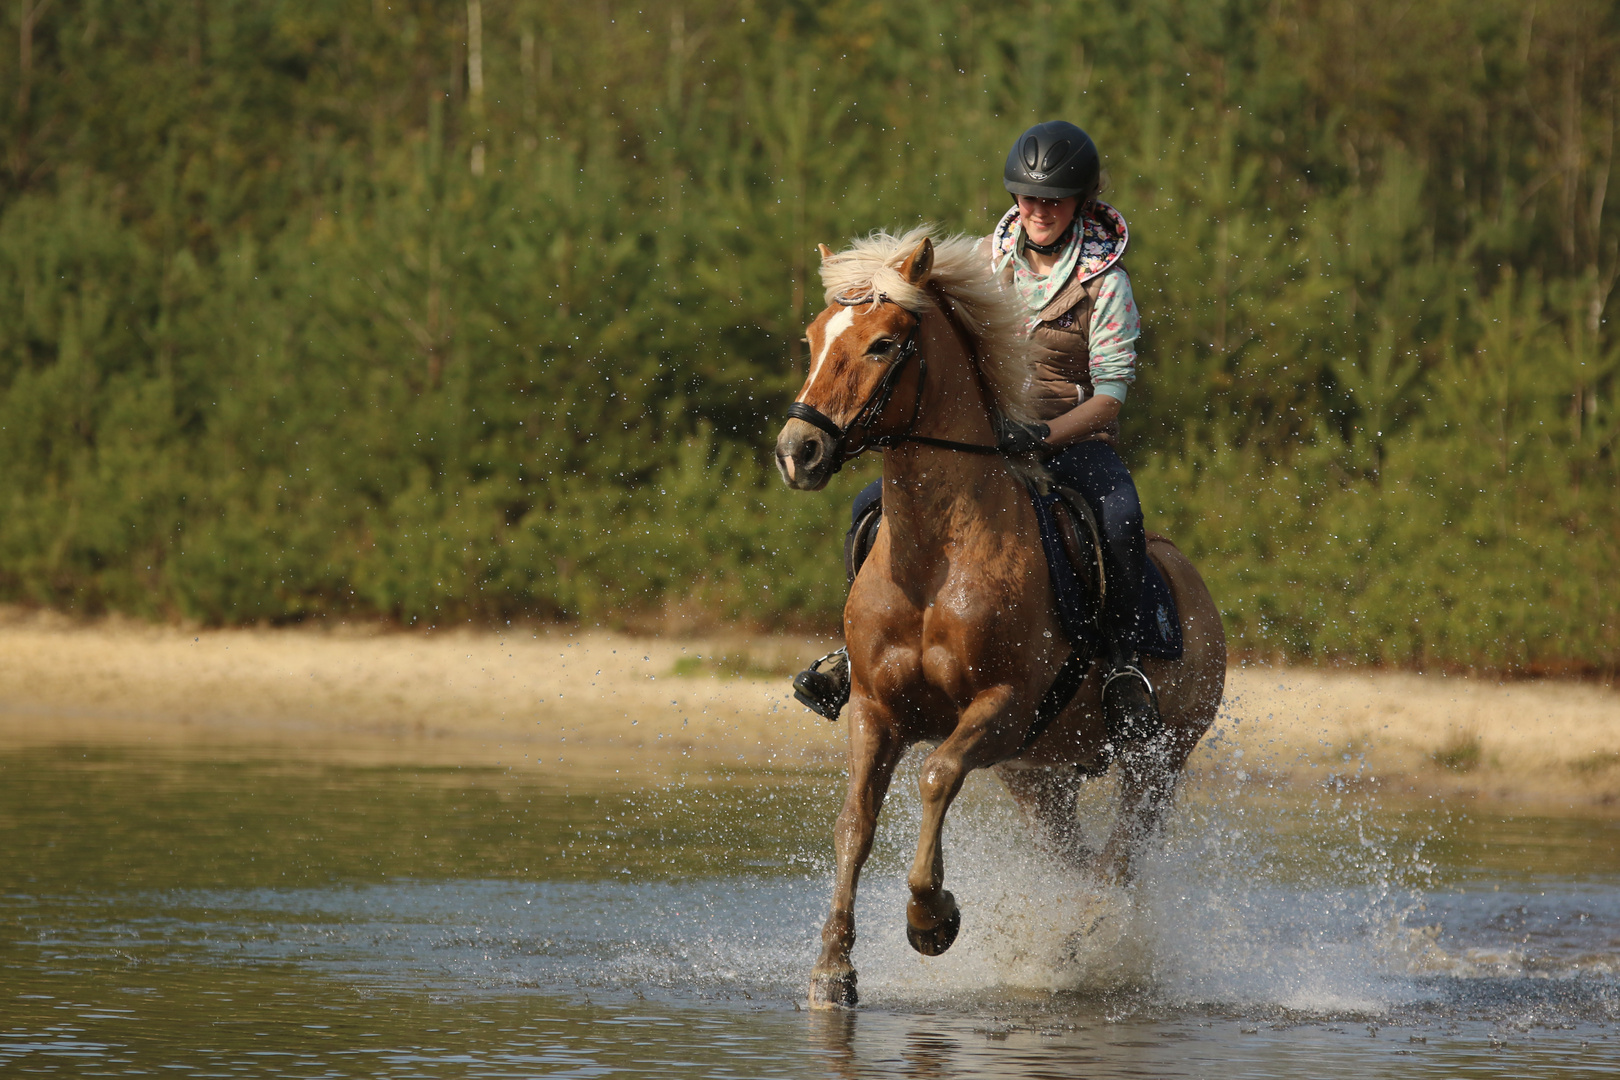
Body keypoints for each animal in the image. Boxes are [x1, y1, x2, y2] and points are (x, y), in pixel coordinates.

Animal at [774, 229, 1224, 1016]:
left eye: (884, 344)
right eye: (814, 336)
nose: (798, 451)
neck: (935, 557)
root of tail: (1194, 587)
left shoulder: (1002, 705)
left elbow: (935, 775)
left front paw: (932, 920)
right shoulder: (874, 707)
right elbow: (854, 822)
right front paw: (832, 969)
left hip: (1156, 761)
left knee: (1120, 860)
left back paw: (1086, 937)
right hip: (1040, 777)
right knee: (1076, 856)